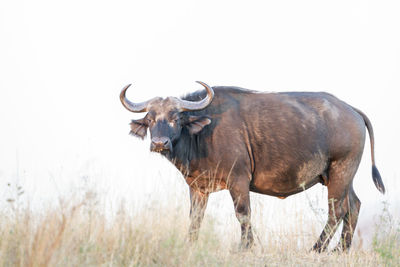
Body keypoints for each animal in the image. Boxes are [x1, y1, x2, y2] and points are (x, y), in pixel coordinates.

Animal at [119, 82, 384, 253]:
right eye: (150, 119)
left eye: (176, 118)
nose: (159, 143)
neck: (203, 133)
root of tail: (350, 109)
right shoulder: (198, 187)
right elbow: (195, 218)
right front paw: (189, 245)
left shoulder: (238, 180)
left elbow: (243, 213)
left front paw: (245, 247)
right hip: (340, 176)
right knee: (353, 206)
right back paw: (341, 250)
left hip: (341, 170)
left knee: (336, 211)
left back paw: (317, 249)